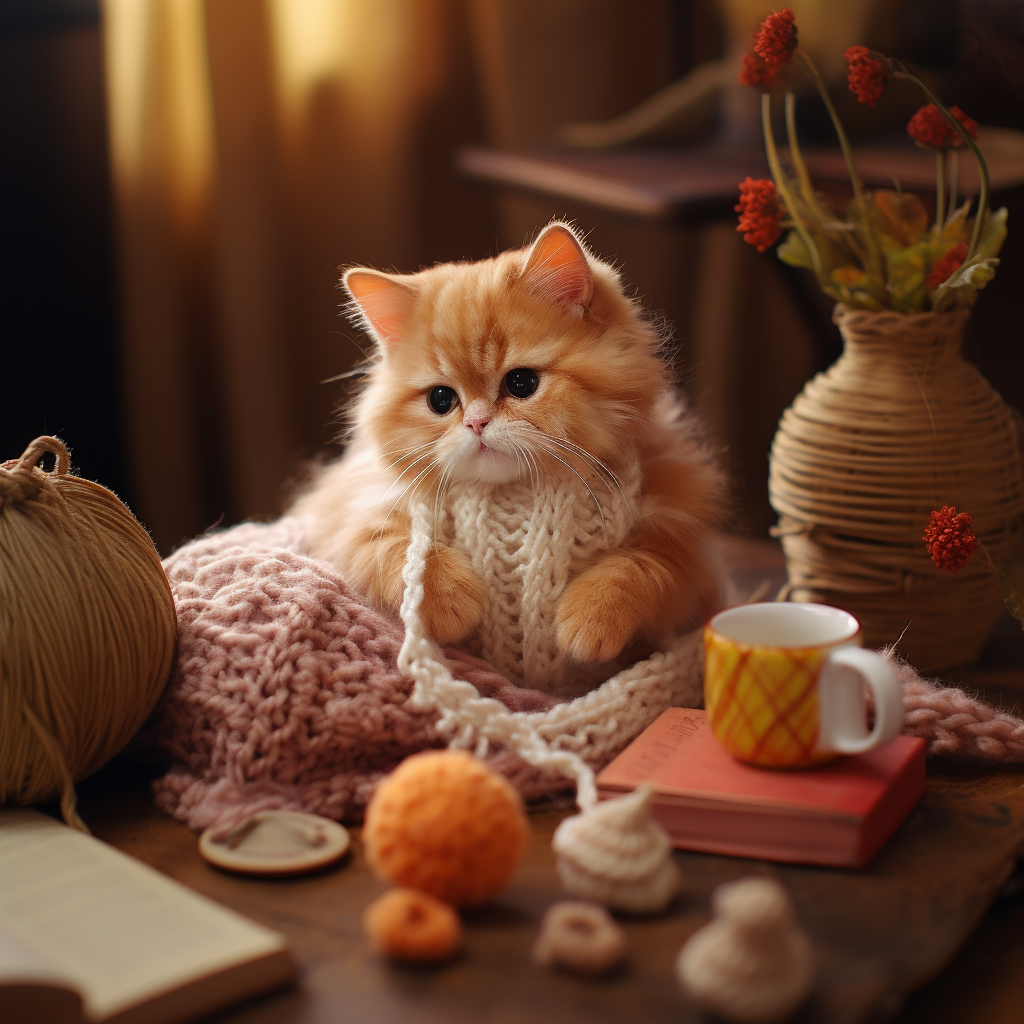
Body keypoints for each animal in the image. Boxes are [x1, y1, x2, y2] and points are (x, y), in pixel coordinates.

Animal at [292, 223, 729, 663]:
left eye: (521, 383)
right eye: (441, 400)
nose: (476, 422)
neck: (515, 497)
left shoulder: (682, 538)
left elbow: (639, 566)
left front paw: (590, 620)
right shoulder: (354, 509)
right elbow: (398, 551)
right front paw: (448, 602)